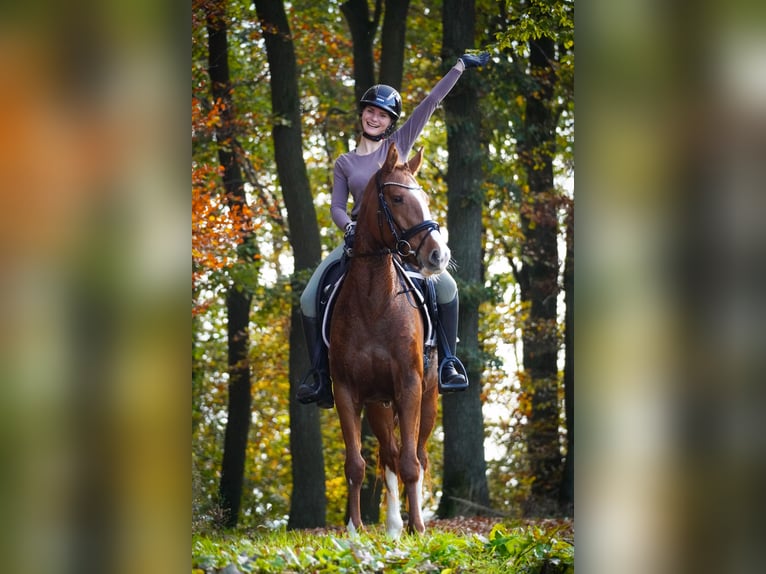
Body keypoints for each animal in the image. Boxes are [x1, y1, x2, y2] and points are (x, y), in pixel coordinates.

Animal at [328, 144, 450, 540]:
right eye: (397, 198)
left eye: (426, 198)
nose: (438, 255)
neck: (374, 301)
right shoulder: (346, 391)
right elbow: (356, 464)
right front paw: (354, 530)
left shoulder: (409, 385)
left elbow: (413, 463)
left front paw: (419, 528)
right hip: (380, 406)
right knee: (390, 455)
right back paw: (395, 526)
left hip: (427, 400)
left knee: (418, 455)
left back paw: (412, 522)